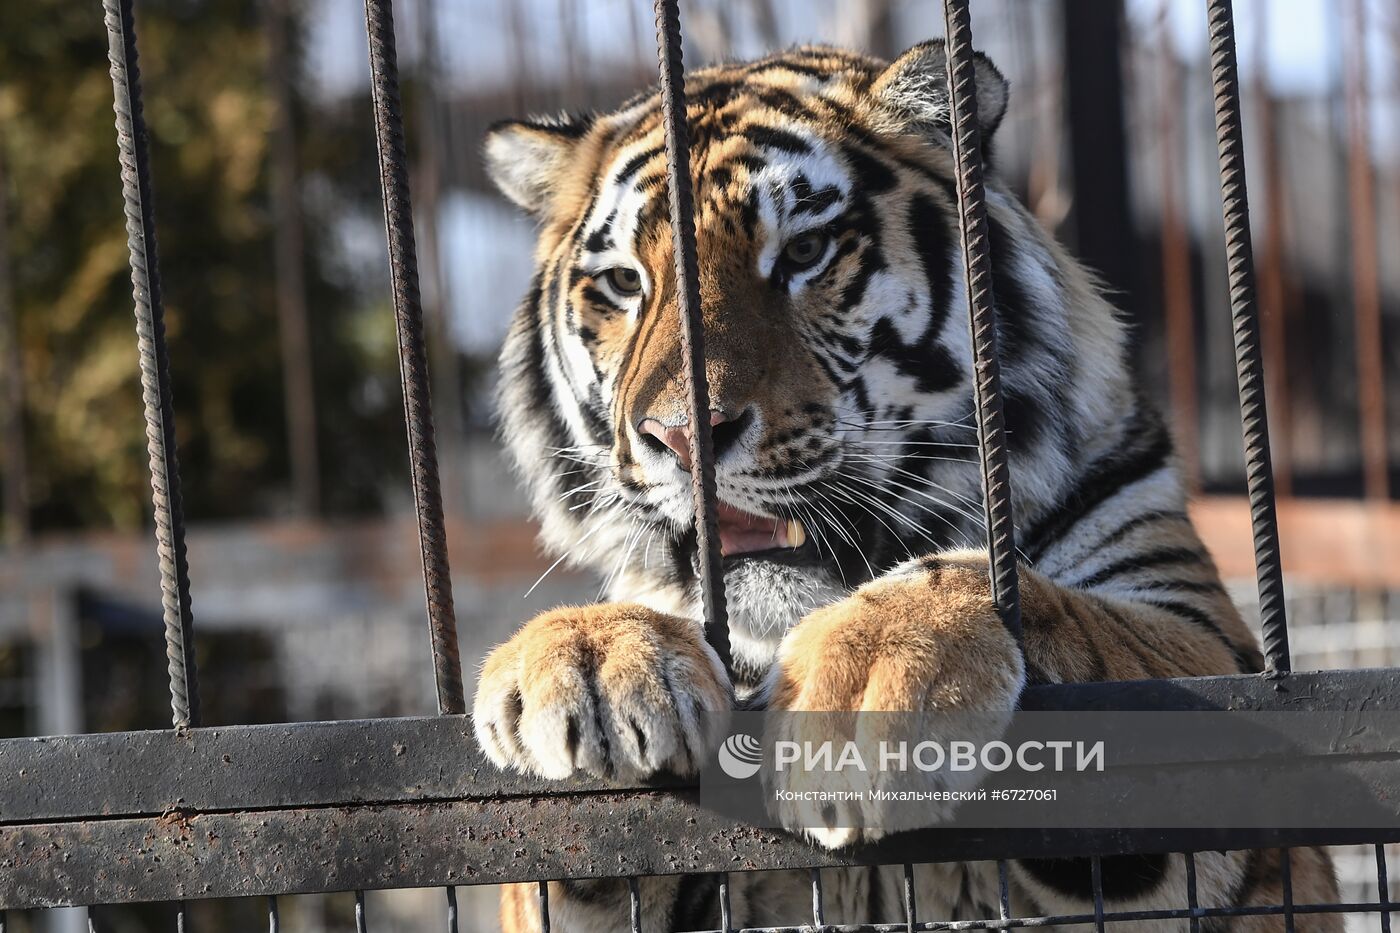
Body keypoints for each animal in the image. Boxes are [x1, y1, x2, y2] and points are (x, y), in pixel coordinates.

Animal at [476, 41, 1338, 930]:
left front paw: (861, 684)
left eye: (804, 252)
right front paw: (587, 655)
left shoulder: (1208, 651)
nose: (683, 436)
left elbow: (1045, 601)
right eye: (623, 283)